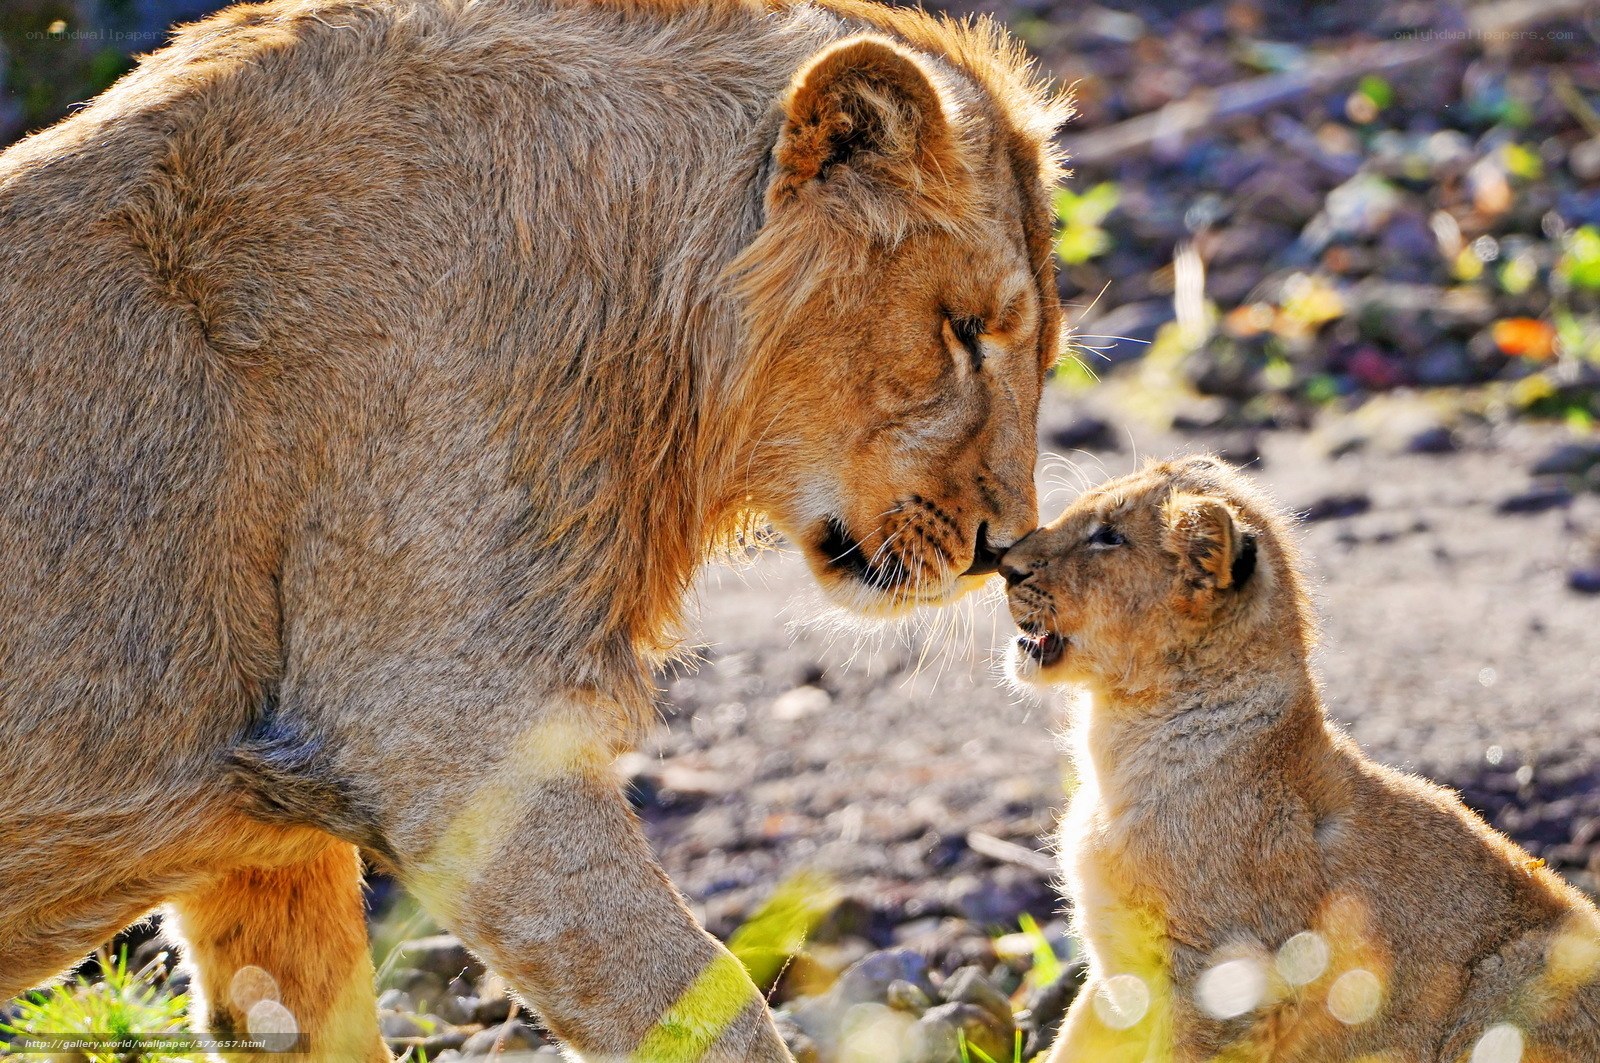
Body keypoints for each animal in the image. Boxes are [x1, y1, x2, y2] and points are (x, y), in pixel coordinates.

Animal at [1001, 455, 1600, 1062]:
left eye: (1108, 537)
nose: (1004, 567)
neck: (1119, 751)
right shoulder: (1117, 968)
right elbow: (1075, 1041)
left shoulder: (1219, 982)